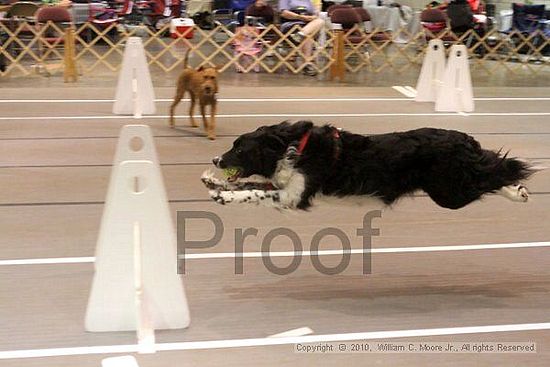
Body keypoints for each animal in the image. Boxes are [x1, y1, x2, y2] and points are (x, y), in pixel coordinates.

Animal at [203, 122, 540, 211]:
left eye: (239, 148)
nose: (216, 159)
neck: (292, 147)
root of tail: (464, 139)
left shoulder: (293, 196)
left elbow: (253, 192)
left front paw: (223, 195)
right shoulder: (285, 185)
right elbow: (251, 184)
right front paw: (213, 182)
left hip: (449, 193)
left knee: (494, 172)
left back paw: (518, 190)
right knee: (493, 169)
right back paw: (519, 190)